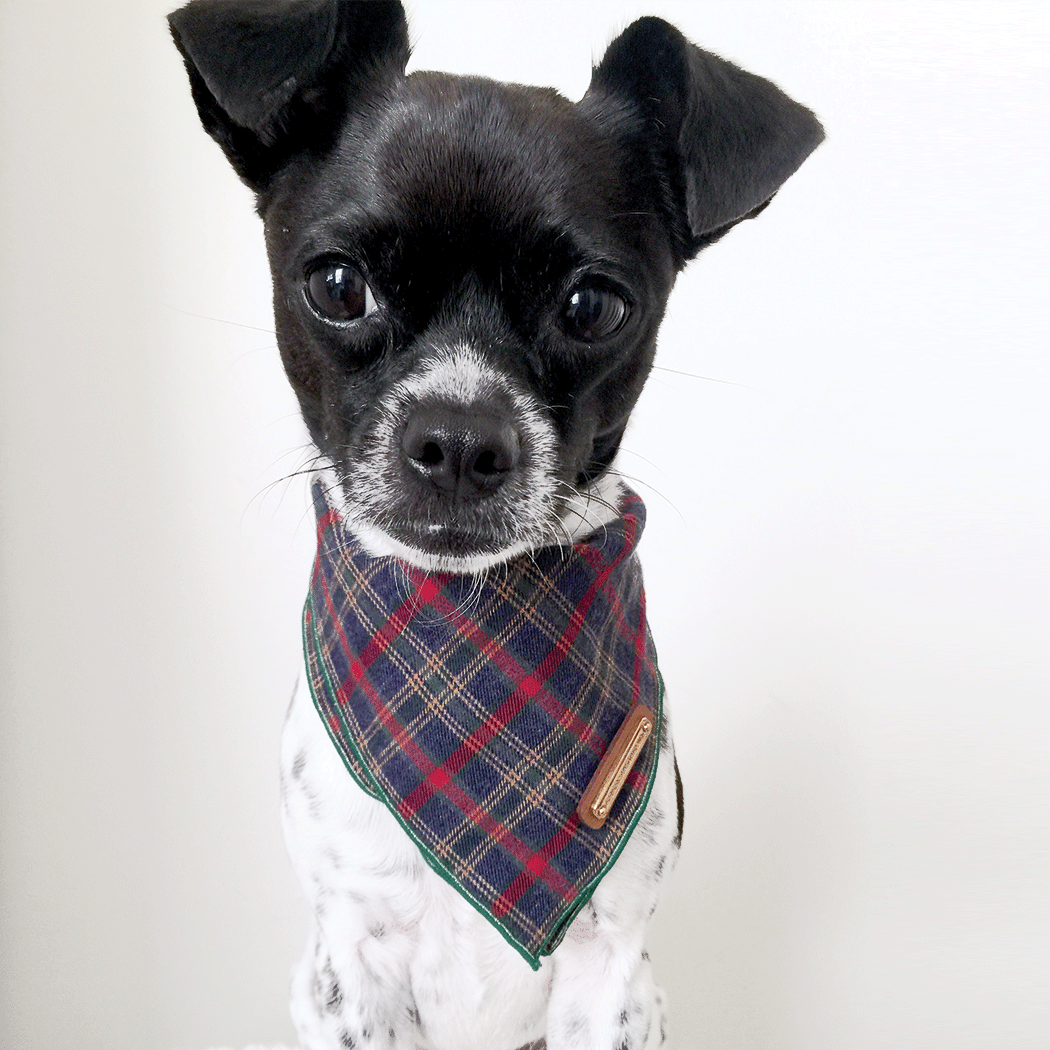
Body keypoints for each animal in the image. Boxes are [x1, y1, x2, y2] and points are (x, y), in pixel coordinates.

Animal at [165, 4, 818, 1045]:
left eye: (592, 306)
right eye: (338, 286)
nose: (462, 438)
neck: (467, 631)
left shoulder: (613, 974)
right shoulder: (351, 969)